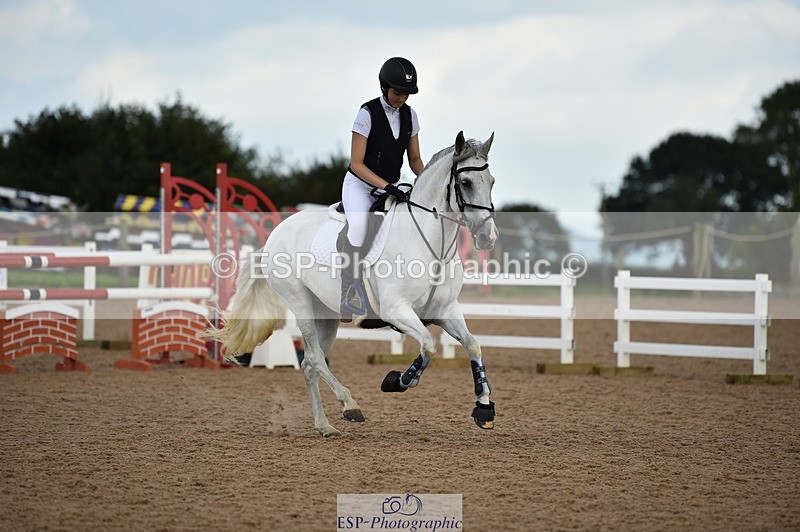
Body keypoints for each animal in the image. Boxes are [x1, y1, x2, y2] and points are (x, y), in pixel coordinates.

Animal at [206, 131, 498, 437]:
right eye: (465, 183)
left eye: (491, 182)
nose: (488, 237)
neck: (431, 243)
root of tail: (275, 234)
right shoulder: (396, 310)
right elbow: (428, 344)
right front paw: (398, 381)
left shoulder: (446, 311)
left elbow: (473, 345)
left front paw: (484, 408)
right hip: (301, 304)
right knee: (314, 358)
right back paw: (349, 404)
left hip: (327, 315)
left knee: (309, 364)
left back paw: (325, 425)